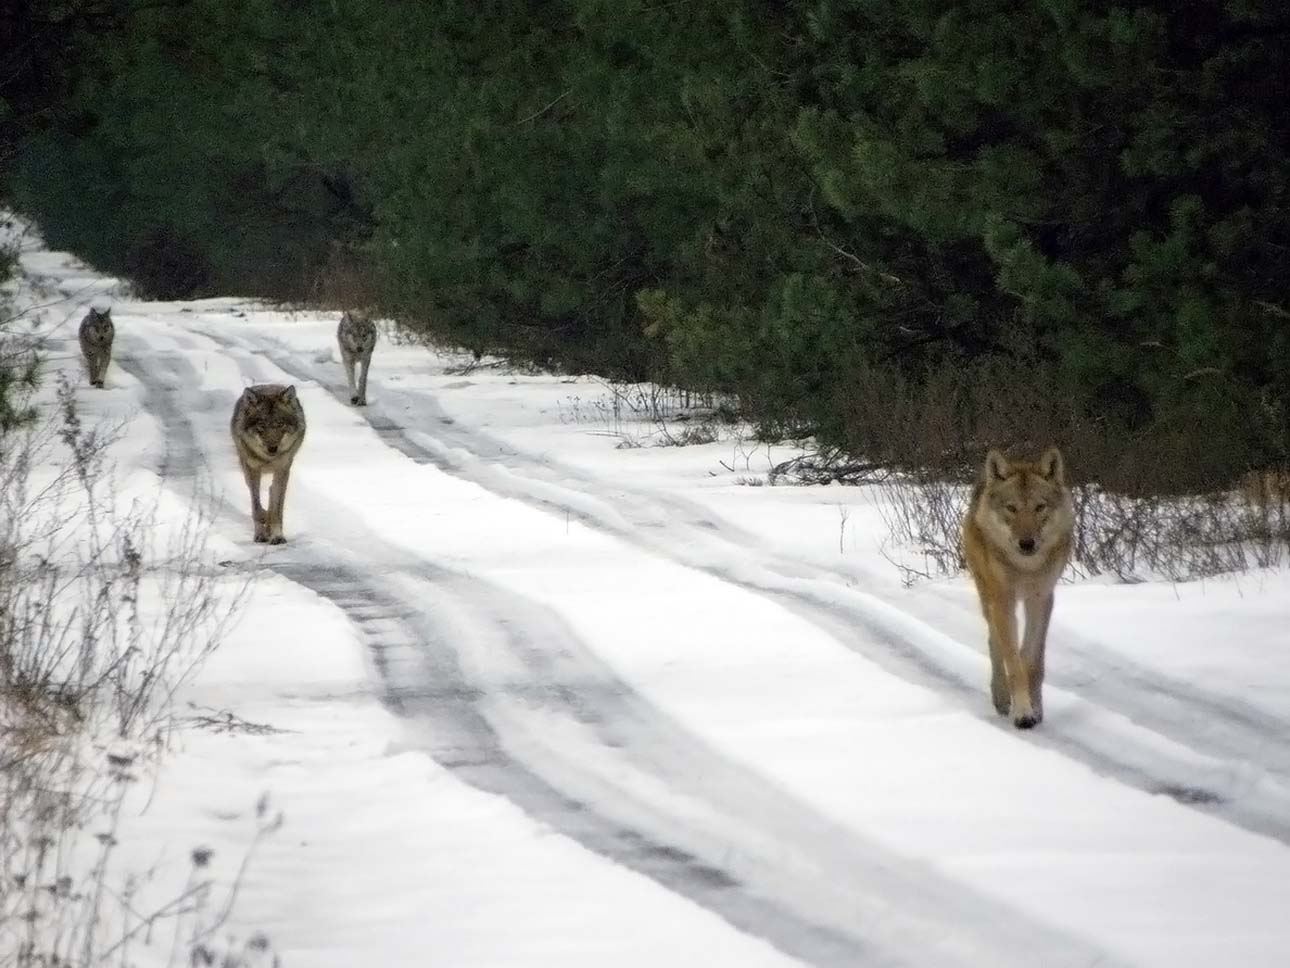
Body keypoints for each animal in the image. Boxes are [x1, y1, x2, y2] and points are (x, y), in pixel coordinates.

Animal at [229, 382, 304, 542]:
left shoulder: (282, 468)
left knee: (273, 491)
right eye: (262, 425)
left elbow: (277, 507)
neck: (268, 459)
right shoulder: (252, 469)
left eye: (280, 424)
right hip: (245, 467)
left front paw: (277, 535)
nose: (272, 448)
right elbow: (256, 505)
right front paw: (260, 533)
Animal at [964, 446, 1073, 727]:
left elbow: (1032, 661)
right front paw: (1022, 712)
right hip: (987, 595)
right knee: (994, 643)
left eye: (1039, 507)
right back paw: (1001, 697)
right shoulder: (1003, 600)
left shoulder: (1042, 599)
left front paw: (1035, 707)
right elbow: (1012, 661)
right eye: (1011, 508)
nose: (1027, 543)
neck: (1026, 567)